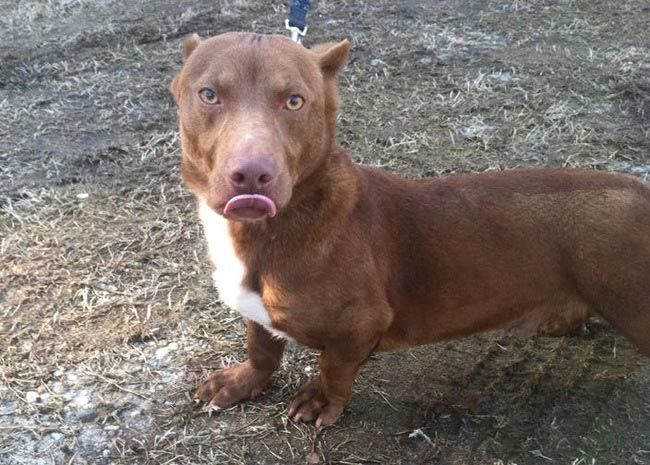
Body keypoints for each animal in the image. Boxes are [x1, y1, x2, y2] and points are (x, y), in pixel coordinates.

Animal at [171, 32, 650, 427]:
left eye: (294, 101)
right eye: (209, 95)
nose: (252, 175)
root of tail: (640, 190)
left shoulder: (360, 325)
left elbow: (333, 369)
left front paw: (321, 402)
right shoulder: (258, 313)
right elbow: (261, 346)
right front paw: (241, 381)